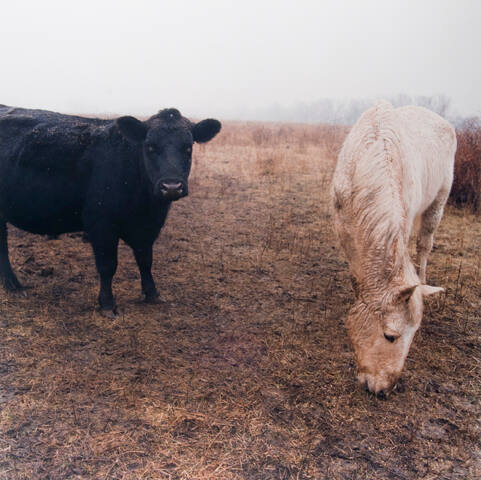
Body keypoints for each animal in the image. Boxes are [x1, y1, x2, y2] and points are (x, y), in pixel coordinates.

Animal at [0, 105, 221, 316]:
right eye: (150, 146)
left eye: (188, 147)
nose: (172, 186)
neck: (145, 206)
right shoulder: (100, 224)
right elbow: (108, 266)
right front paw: (107, 303)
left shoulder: (148, 227)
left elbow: (145, 260)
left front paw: (152, 293)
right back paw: (14, 286)